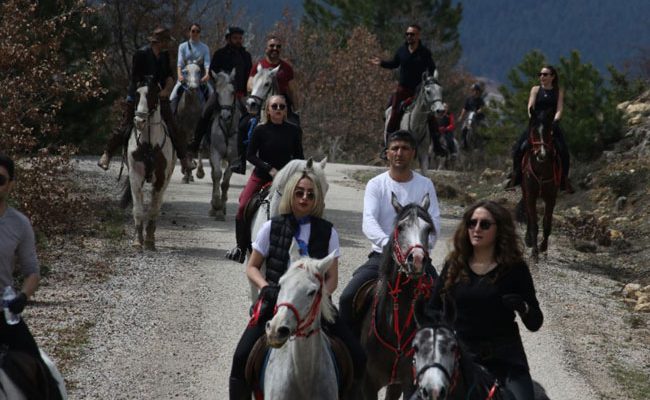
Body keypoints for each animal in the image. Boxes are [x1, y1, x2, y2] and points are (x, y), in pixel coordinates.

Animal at [124, 78, 173, 250]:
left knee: (156, 204)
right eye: (136, 94)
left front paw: (150, 241)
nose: (139, 121)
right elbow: (138, 209)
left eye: (152, 94)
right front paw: (138, 241)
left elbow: (153, 209)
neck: (149, 145)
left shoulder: (160, 179)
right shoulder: (135, 176)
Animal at [516, 108, 556, 260]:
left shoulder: (551, 197)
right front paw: (534, 252)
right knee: (528, 214)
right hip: (525, 192)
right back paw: (528, 240)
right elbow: (534, 223)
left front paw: (543, 247)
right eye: (533, 131)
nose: (542, 154)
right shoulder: (531, 195)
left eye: (549, 131)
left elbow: (547, 224)